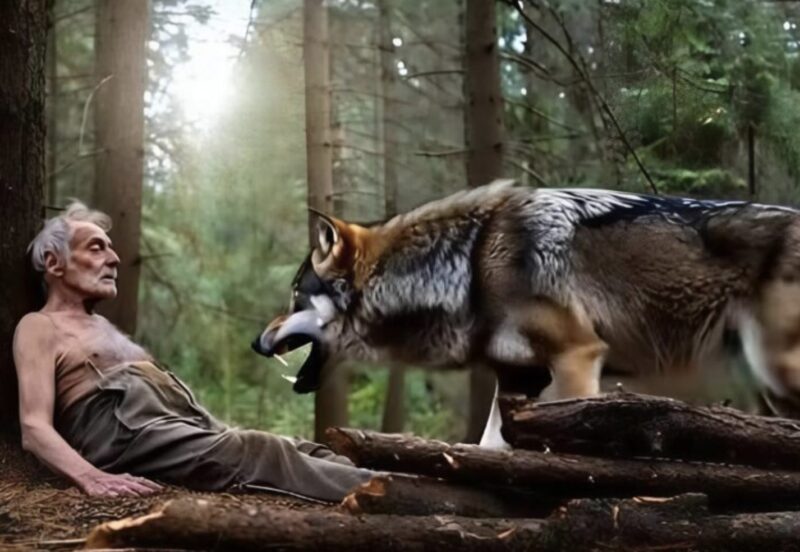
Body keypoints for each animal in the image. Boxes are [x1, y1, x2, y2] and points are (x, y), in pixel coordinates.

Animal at [252, 180, 800, 447]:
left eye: (295, 296)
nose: (256, 342)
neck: (469, 267)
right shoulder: (518, 381)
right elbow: (489, 450)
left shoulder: (578, 357)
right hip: (768, 390)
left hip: (776, 371)